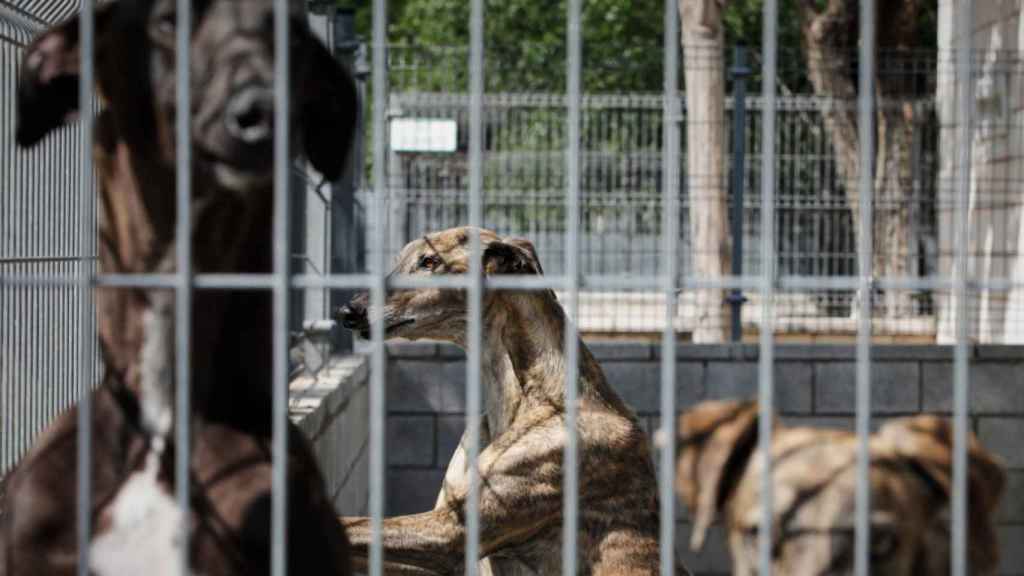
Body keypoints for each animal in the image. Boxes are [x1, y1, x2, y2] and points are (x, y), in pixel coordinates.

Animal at [335, 226, 688, 573]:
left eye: (430, 261)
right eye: (400, 260)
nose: (348, 311)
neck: (529, 395)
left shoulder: (450, 530)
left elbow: (351, 525)